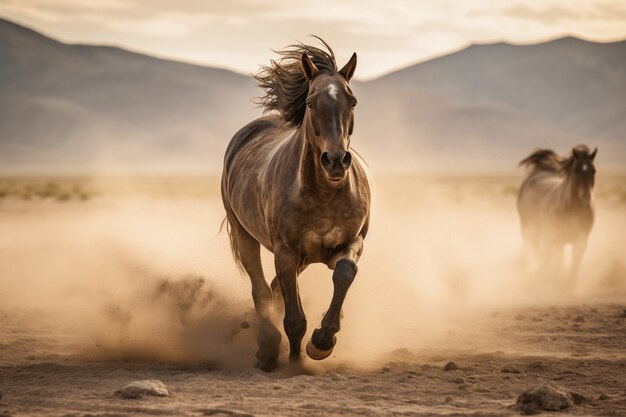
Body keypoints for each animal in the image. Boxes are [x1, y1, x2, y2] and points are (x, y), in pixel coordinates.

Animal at [219, 38, 368, 370]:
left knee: (273, 290)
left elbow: (345, 273)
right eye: (311, 102)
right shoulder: (286, 252)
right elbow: (294, 319)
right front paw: (296, 360)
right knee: (262, 290)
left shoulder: (350, 243)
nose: (335, 160)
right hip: (245, 235)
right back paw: (267, 348)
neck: (324, 195)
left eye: (352, 101)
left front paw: (322, 341)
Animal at [516, 143, 596, 282]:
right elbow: (547, 261)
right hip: (529, 229)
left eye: (593, 171)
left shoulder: (581, 241)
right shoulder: (549, 238)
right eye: (576, 170)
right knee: (534, 249)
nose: (585, 196)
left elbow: (574, 267)